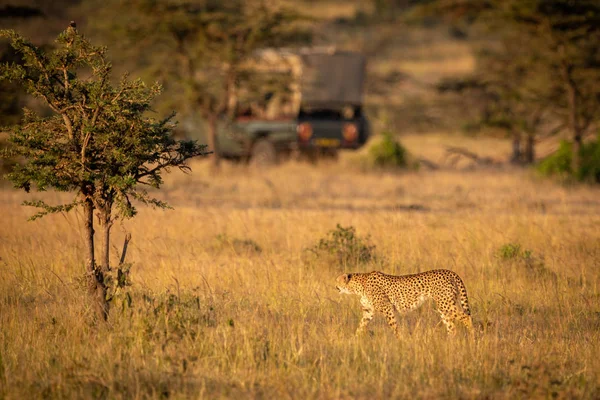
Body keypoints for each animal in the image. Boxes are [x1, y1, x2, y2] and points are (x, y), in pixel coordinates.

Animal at [338, 268, 474, 338]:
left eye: (337, 281)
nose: (335, 286)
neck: (359, 286)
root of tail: (450, 271)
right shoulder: (368, 311)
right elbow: (361, 325)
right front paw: (355, 339)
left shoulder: (387, 308)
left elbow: (393, 325)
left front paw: (399, 340)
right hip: (443, 307)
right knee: (452, 327)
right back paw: (450, 343)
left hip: (445, 304)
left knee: (466, 317)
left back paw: (473, 338)